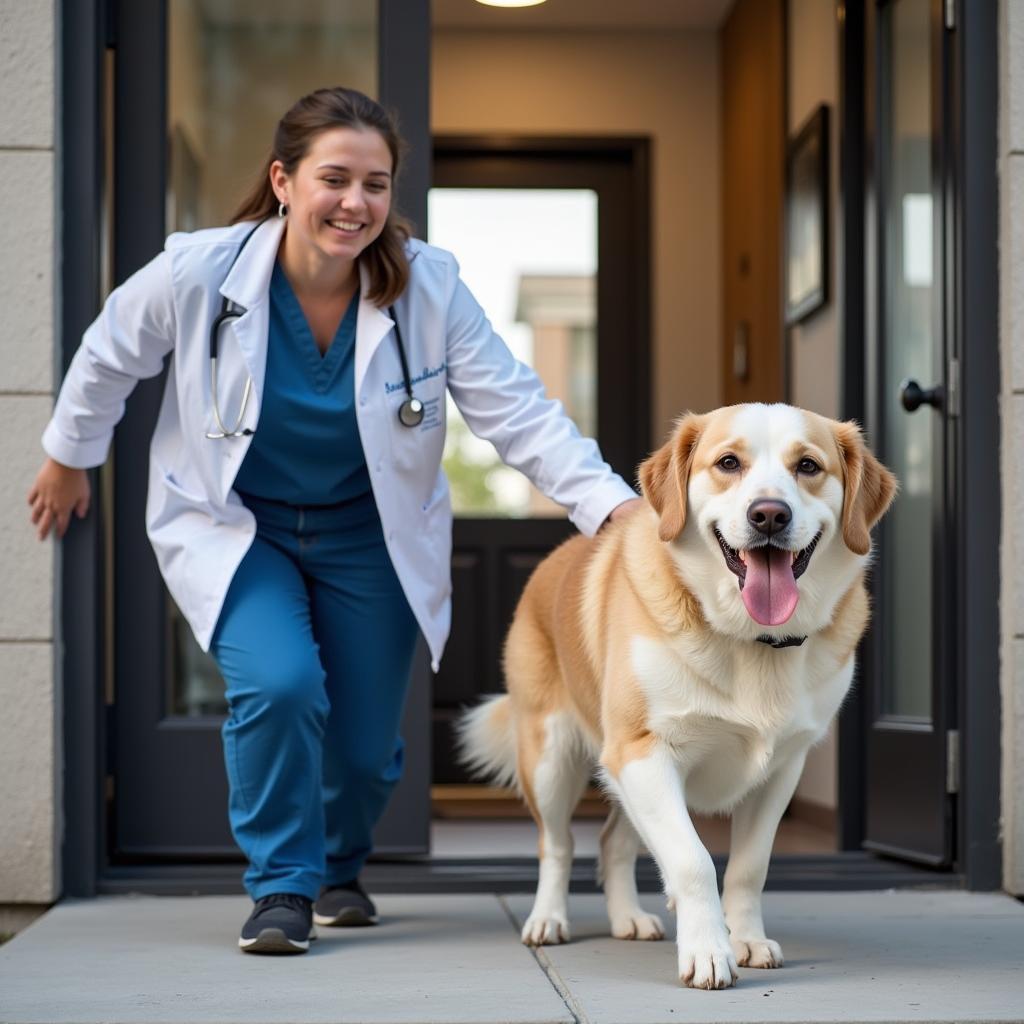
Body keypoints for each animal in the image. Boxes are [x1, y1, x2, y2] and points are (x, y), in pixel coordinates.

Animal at [456, 403, 897, 987]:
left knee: (613, 842)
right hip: (552, 760)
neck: (749, 638)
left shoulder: (781, 769)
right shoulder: (644, 752)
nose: (769, 516)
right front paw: (709, 950)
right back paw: (548, 918)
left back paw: (628, 918)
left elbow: (748, 867)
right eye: (728, 462)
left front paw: (746, 939)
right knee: (558, 845)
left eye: (807, 466)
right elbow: (692, 860)